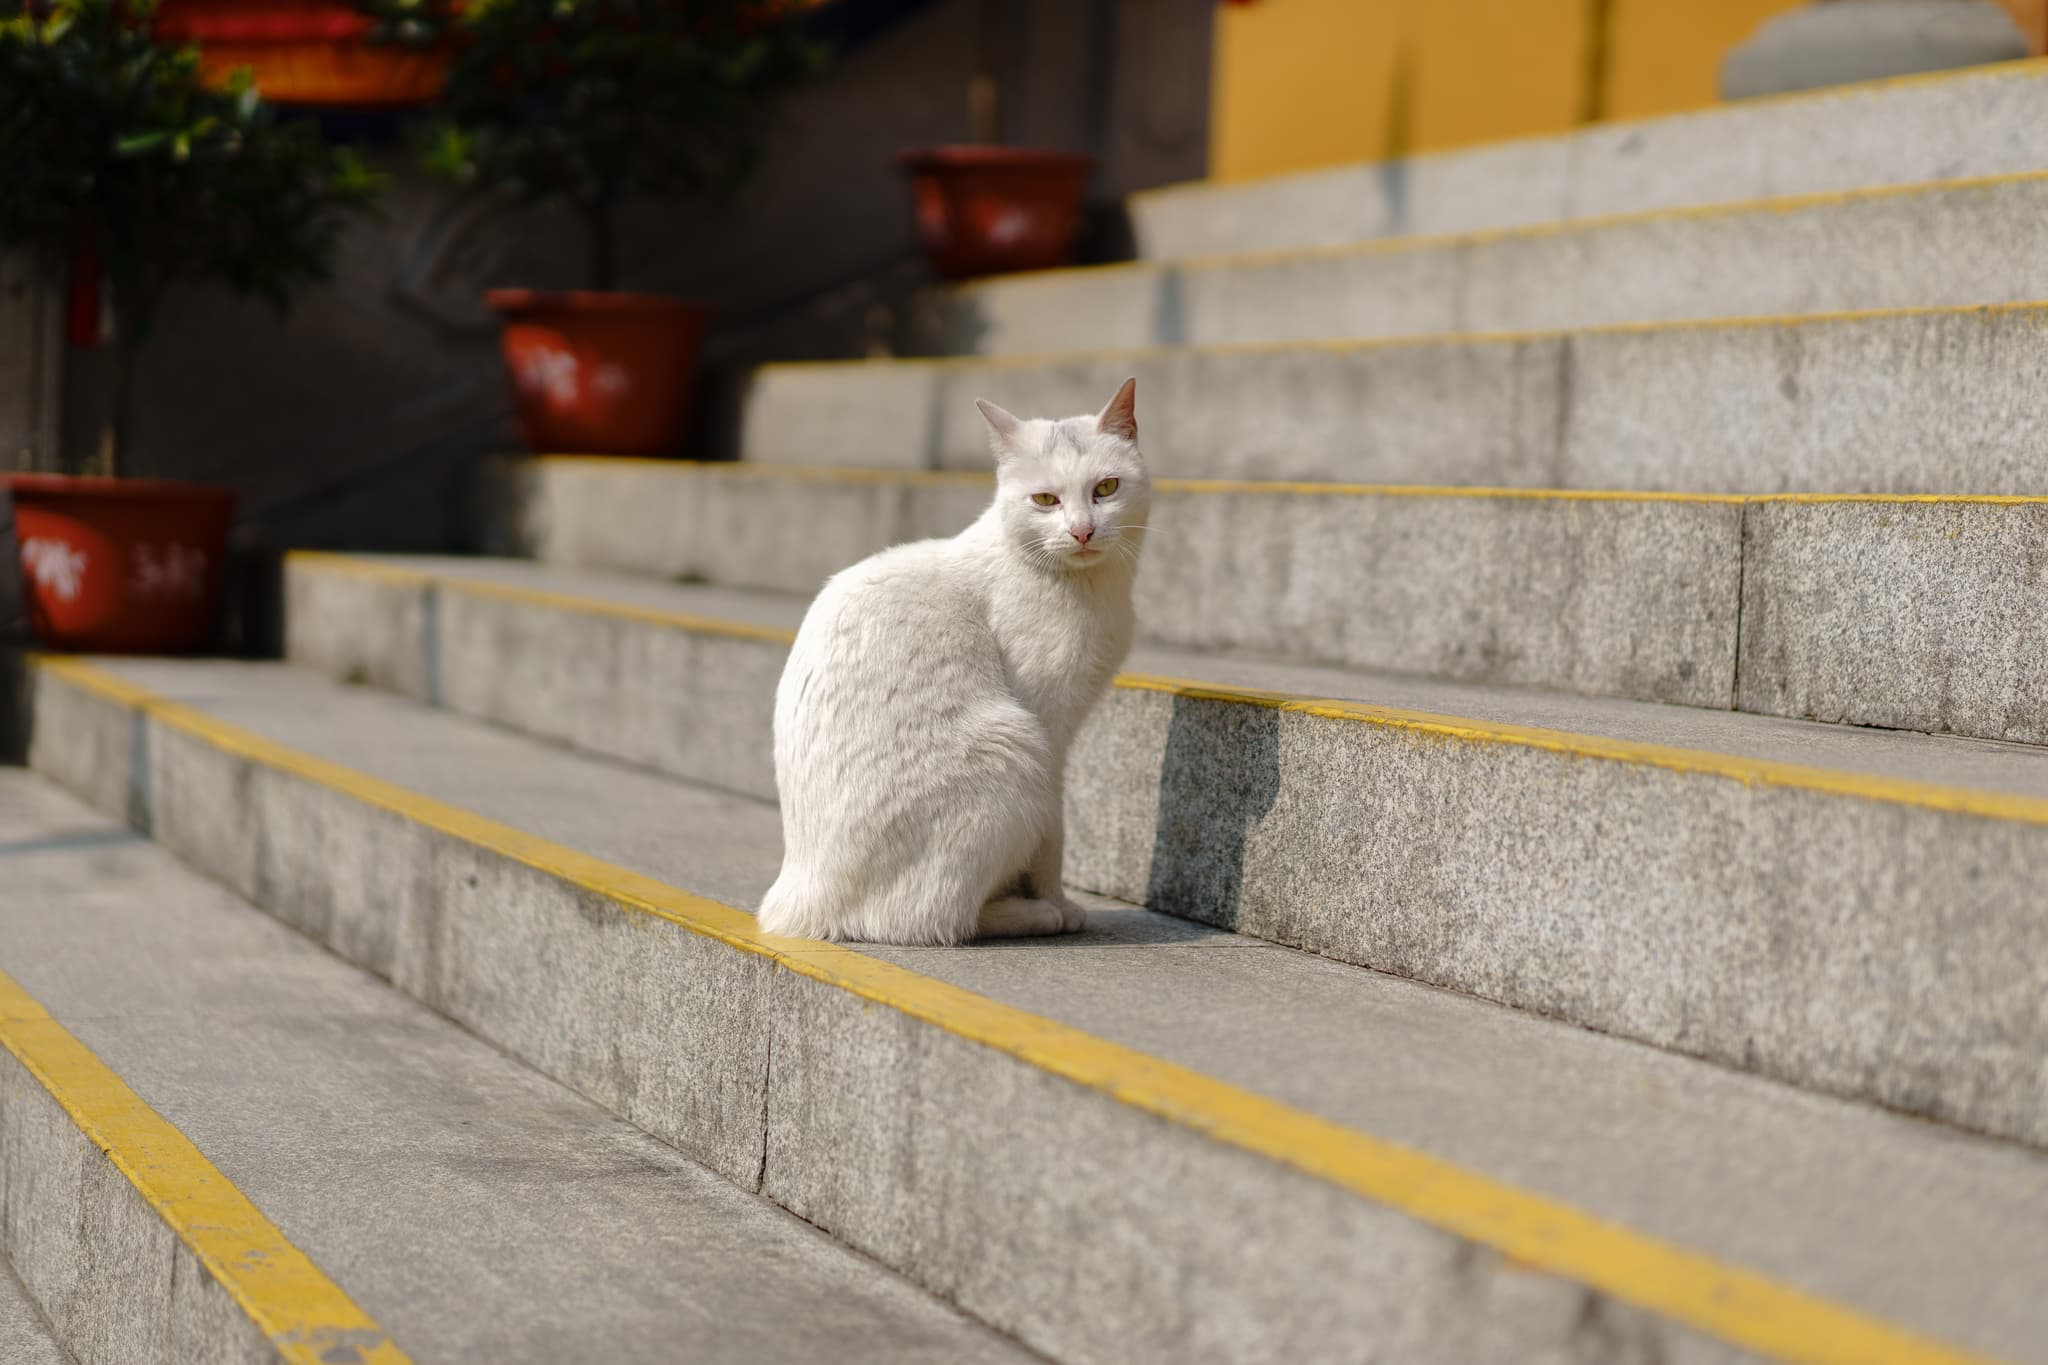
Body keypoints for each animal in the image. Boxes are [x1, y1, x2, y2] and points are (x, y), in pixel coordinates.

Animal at [761, 378, 1155, 945]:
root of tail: (793, 899)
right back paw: (1035, 915)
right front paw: (1058, 902)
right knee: (925, 919)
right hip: (1017, 749)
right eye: (1045, 500)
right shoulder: (1050, 730)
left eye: (1105, 489)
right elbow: (1054, 842)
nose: (1082, 531)